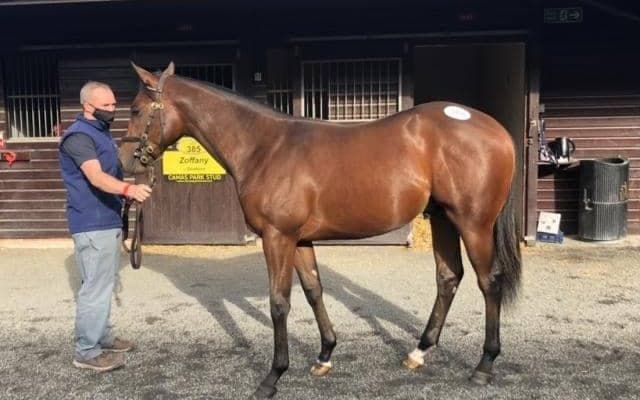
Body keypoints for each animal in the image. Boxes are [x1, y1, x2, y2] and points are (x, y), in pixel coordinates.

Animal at [119, 62, 522, 398]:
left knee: (490, 282)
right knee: (448, 277)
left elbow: (279, 303)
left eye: (136, 110)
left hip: (473, 223)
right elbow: (313, 291)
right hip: (442, 218)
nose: (124, 161)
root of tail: (496, 129)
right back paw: (418, 352)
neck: (265, 148)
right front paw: (325, 355)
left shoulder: (277, 237)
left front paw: (273, 376)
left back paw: (484, 365)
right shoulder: (299, 240)